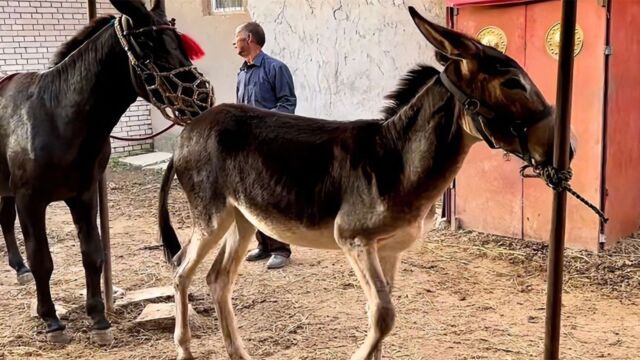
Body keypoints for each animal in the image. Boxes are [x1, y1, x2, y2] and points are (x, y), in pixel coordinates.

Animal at [0, 0, 212, 344]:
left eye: (179, 41)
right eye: (147, 44)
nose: (201, 96)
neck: (57, 116)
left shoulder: (84, 194)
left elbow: (93, 253)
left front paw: (98, 317)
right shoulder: (29, 200)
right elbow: (42, 259)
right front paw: (52, 320)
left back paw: (19, 269)